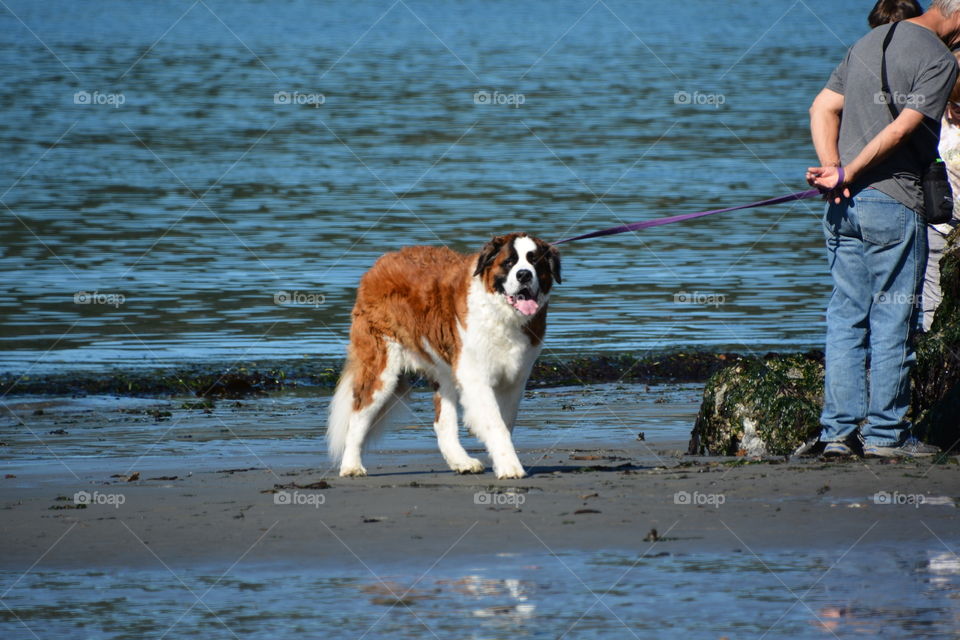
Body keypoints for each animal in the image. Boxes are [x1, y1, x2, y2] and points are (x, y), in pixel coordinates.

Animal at [326, 232, 560, 478]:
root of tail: (379, 265)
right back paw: (351, 465)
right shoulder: (475, 377)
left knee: (442, 423)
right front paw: (510, 466)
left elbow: (504, 422)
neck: (502, 313)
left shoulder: (514, 380)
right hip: (381, 369)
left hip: (444, 371)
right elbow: (495, 424)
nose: (524, 274)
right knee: (359, 415)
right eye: (509, 262)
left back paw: (461, 461)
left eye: (535, 262)